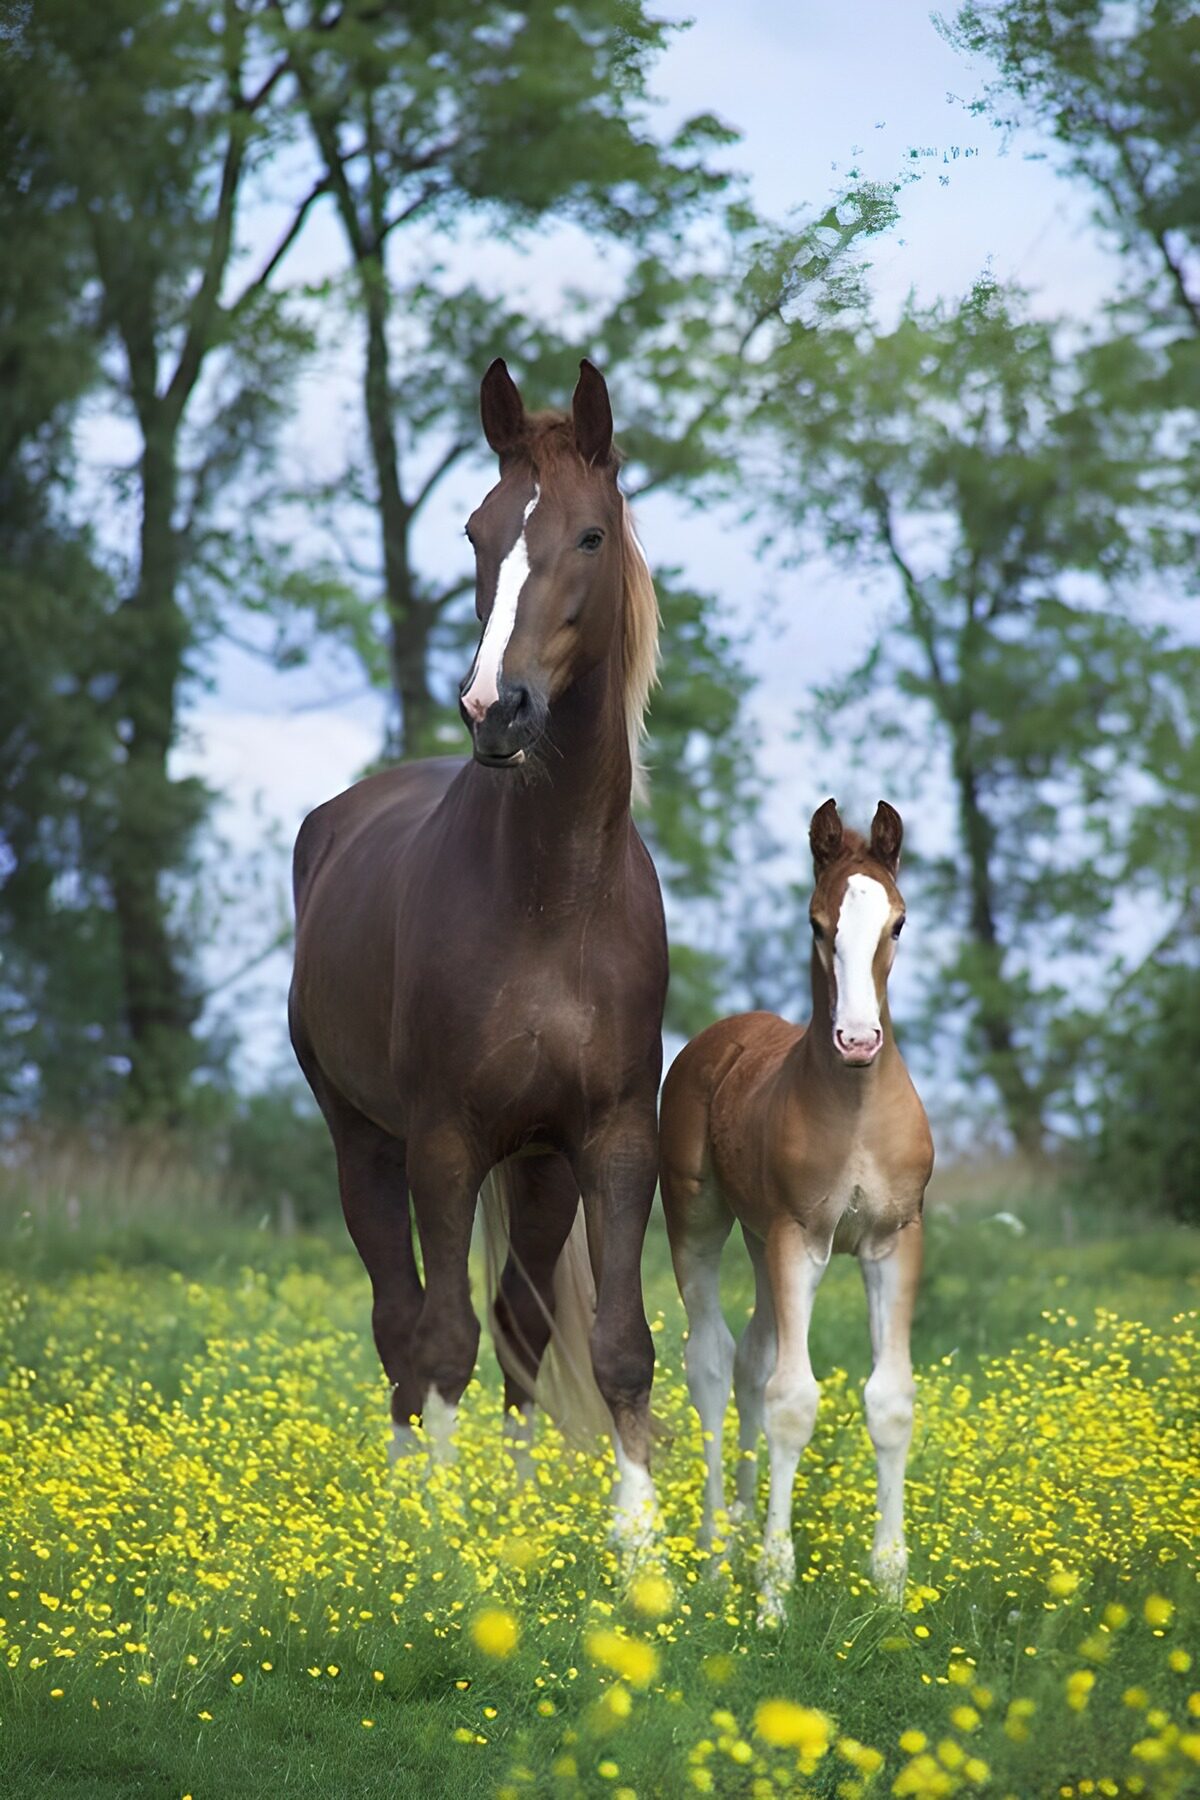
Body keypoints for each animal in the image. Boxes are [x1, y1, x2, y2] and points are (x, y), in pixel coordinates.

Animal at [288, 358, 668, 1544]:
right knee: (402, 1326)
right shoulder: (445, 1145)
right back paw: (413, 1497)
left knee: (517, 1325)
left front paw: (634, 1549)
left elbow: (615, 1347)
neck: (551, 897)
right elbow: (440, 1337)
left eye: (589, 534)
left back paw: (518, 1504)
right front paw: (445, 1552)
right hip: (363, 1143)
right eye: (476, 531)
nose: (495, 707)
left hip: (537, 1171)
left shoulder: (610, 1142)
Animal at [658, 798, 933, 1614]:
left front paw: (890, 1586)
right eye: (817, 922)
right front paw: (773, 1594)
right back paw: (720, 1555)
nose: (858, 1039)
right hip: (702, 1224)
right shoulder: (798, 1239)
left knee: (752, 1357)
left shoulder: (894, 1241)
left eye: (898, 923)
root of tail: (723, 1034)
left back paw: (743, 1529)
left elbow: (889, 1399)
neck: (856, 1108)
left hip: (756, 1239)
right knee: (713, 1363)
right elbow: (791, 1400)